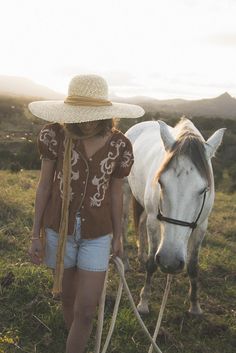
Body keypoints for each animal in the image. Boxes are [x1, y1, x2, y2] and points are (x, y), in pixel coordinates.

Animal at [122, 117, 226, 314]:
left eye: (204, 190)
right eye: (161, 182)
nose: (169, 261)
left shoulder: (201, 226)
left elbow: (193, 266)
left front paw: (195, 305)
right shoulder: (154, 221)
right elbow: (152, 262)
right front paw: (143, 303)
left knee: (140, 223)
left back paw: (140, 256)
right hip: (125, 191)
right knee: (124, 224)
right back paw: (124, 262)